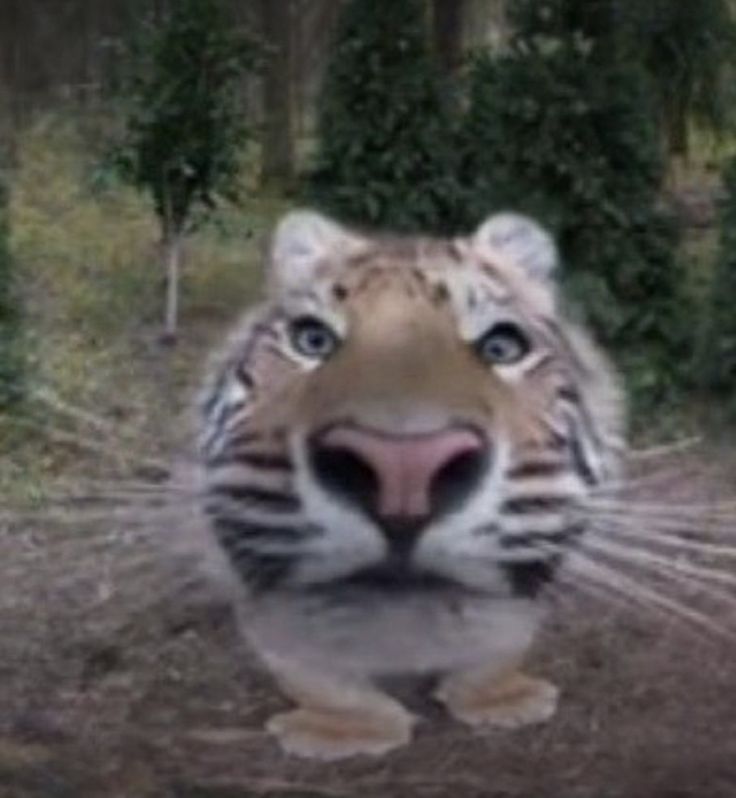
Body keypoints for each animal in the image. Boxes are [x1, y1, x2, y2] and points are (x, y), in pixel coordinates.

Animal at [198, 211, 624, 764]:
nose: (404, 467)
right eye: (312, 341)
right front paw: (350, 731)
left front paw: (503, 700)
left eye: (501, 347)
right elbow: (313, 670)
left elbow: (503, 637)